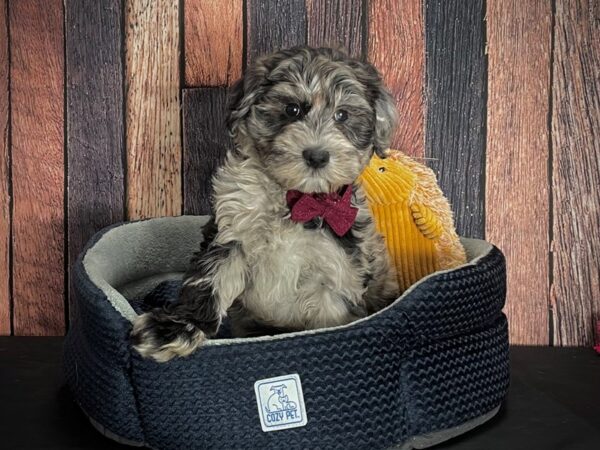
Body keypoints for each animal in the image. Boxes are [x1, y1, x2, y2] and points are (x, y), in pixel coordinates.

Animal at [134, 45, 400, 362]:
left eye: (343, 115)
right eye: (292, 109)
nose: (316, 156)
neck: (295, 199)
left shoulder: (336, 274)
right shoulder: (232, 230)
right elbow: (209, 280)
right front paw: (176, 329)